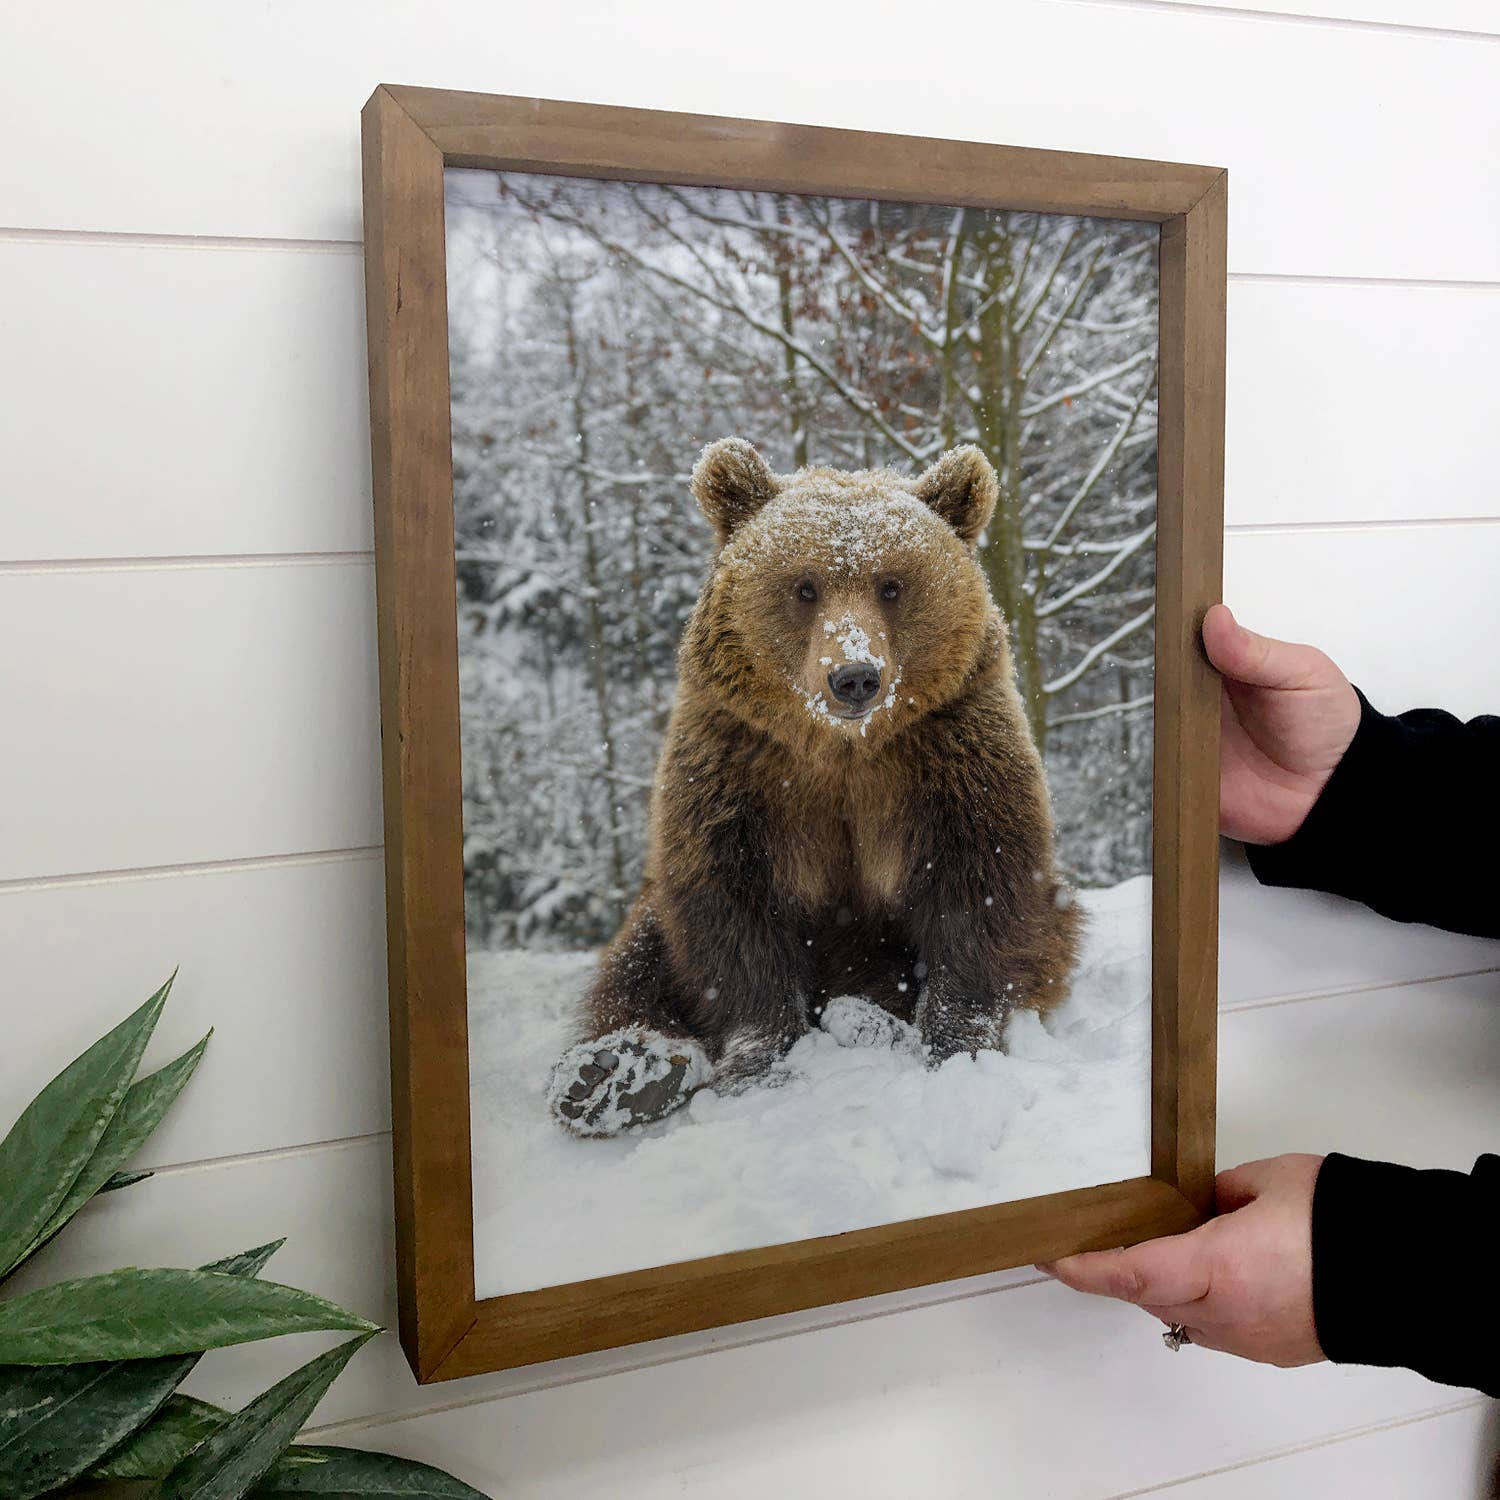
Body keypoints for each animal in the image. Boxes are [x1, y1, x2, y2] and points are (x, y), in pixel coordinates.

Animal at [549, 435, 1080, 1134]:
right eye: (805, 586)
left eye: (891, 585)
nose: (854, 676)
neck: (843, 750)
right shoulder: (739, 769)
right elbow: (733, 912)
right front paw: (757, 1062)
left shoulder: (949, 755)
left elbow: (980, 890)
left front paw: (957, 1043)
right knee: (639, 957)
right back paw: (618, 1072)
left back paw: (865, 1021)